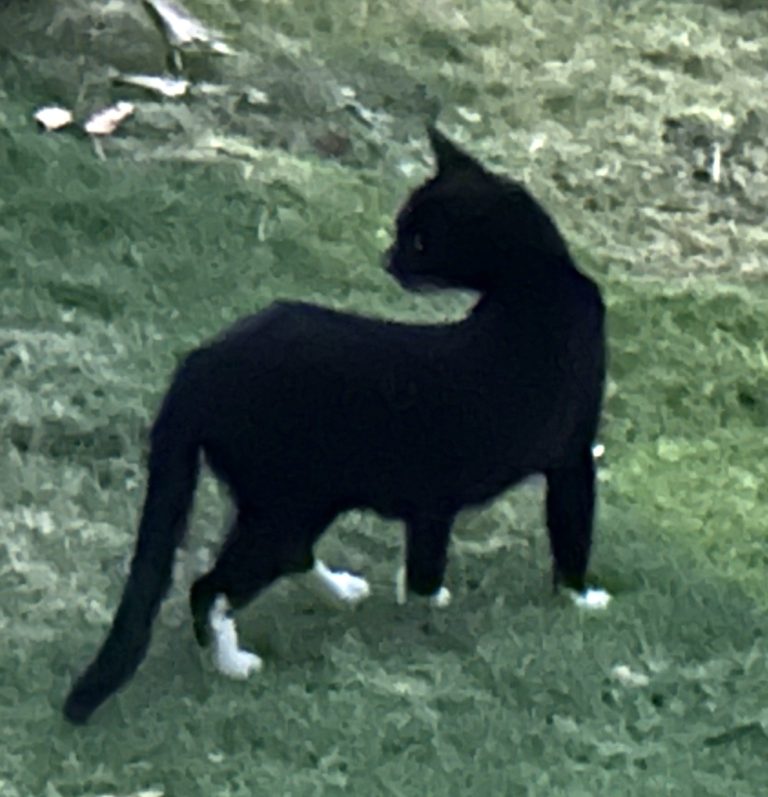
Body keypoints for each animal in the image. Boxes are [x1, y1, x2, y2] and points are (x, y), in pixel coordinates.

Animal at [63, 123, 608, 720]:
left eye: (418, 240)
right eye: (405, 232)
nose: (387, 259)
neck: (534, 280)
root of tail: (200, 363)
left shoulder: (432, 495)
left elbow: (426, 553)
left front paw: (424, 600)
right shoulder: (573, 455)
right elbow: (572, 530)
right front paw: (583, 599)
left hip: (297, 498)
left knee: (287, 557)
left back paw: (343, 592)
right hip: (287, 501)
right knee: (210, 585)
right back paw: (233, 663)